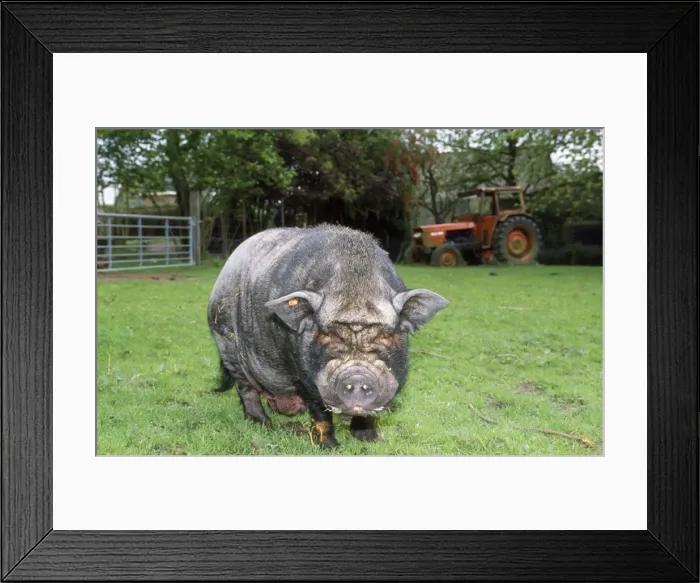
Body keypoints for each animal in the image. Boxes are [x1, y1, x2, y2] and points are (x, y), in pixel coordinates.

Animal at [207, 224, 449, 448]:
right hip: (226, 341)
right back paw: (262, 423)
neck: (357, 288)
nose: (357, 377)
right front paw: (330, 447)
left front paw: (371, 441)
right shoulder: (306, 376)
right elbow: (320, 414)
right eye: (326, 335)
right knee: (245, 388)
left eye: (387, 336)